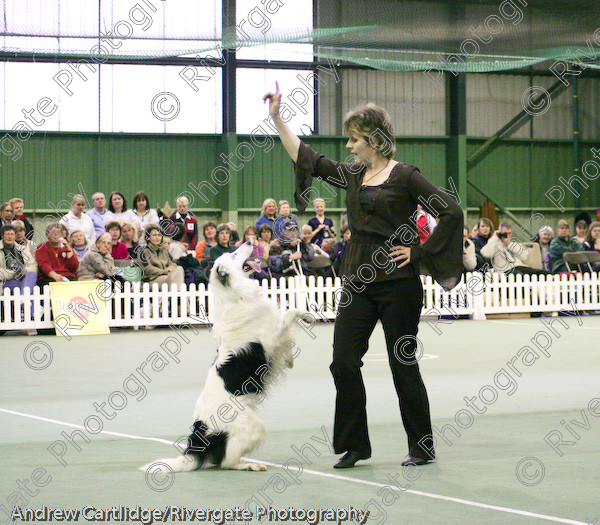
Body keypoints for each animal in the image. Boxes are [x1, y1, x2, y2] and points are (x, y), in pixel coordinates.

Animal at [142, 244, 308, 472]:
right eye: (234, 255)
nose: (249, 241)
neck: (233, 295)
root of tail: (197, 438)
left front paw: (290, 361)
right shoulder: (271, 336)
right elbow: (291, 312)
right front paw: (307, 315)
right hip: (254, 427)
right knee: (226, 462)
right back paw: (250, 465)